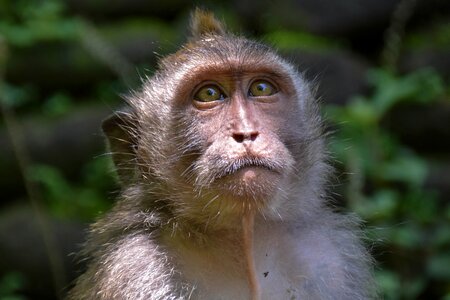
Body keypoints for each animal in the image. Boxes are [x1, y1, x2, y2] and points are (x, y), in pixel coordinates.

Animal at [67, 9, 376, 300]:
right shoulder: (137, 269)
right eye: (209, 94)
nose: (246, 133)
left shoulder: (332, 261)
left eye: (261, 88)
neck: (247, 244)